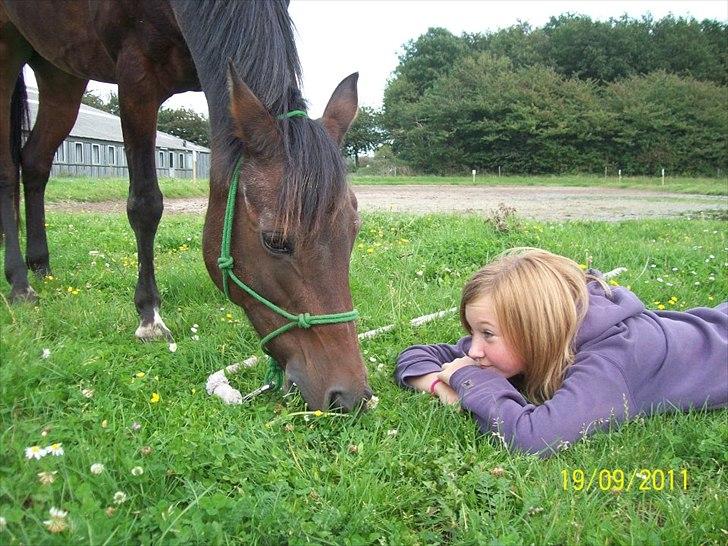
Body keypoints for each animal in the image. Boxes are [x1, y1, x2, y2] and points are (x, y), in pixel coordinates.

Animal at [0, 0, 372, 408]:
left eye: (354, 231)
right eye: (275, 241)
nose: (350, 396)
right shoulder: (135, 77)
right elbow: (145, 204)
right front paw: (149, 316)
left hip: (61, 72)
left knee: (35, 162)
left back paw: (40, 265)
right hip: (9, 51)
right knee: (8, 172)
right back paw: (20, 283)